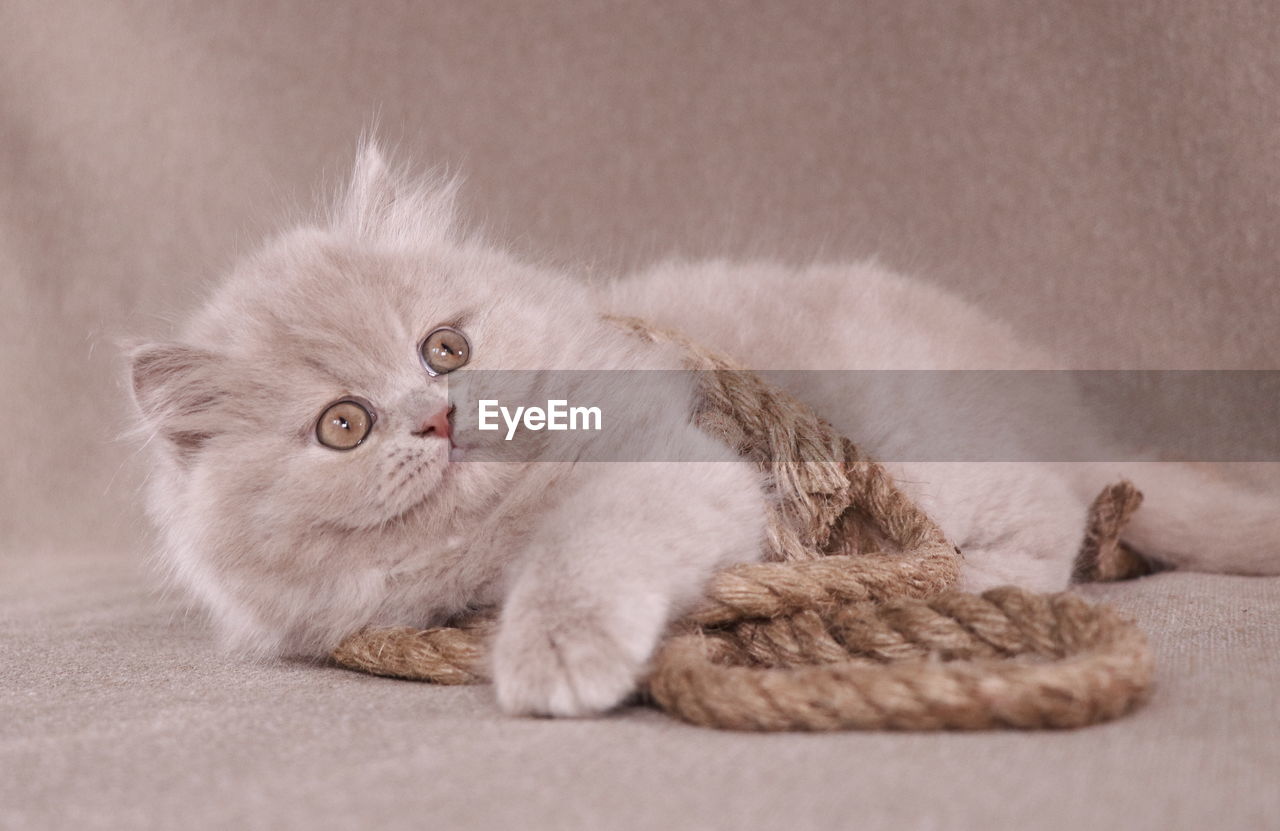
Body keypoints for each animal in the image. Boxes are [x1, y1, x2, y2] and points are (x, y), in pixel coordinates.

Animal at [129, 145, 1280, 717]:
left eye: (444, 348)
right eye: (344, 425)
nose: (438, 415)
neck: (489, 535)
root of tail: (1054, 398)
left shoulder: (684, 465)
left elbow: (584, 552)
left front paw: (556, 652)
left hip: (930, 447)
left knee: (1051, 516)